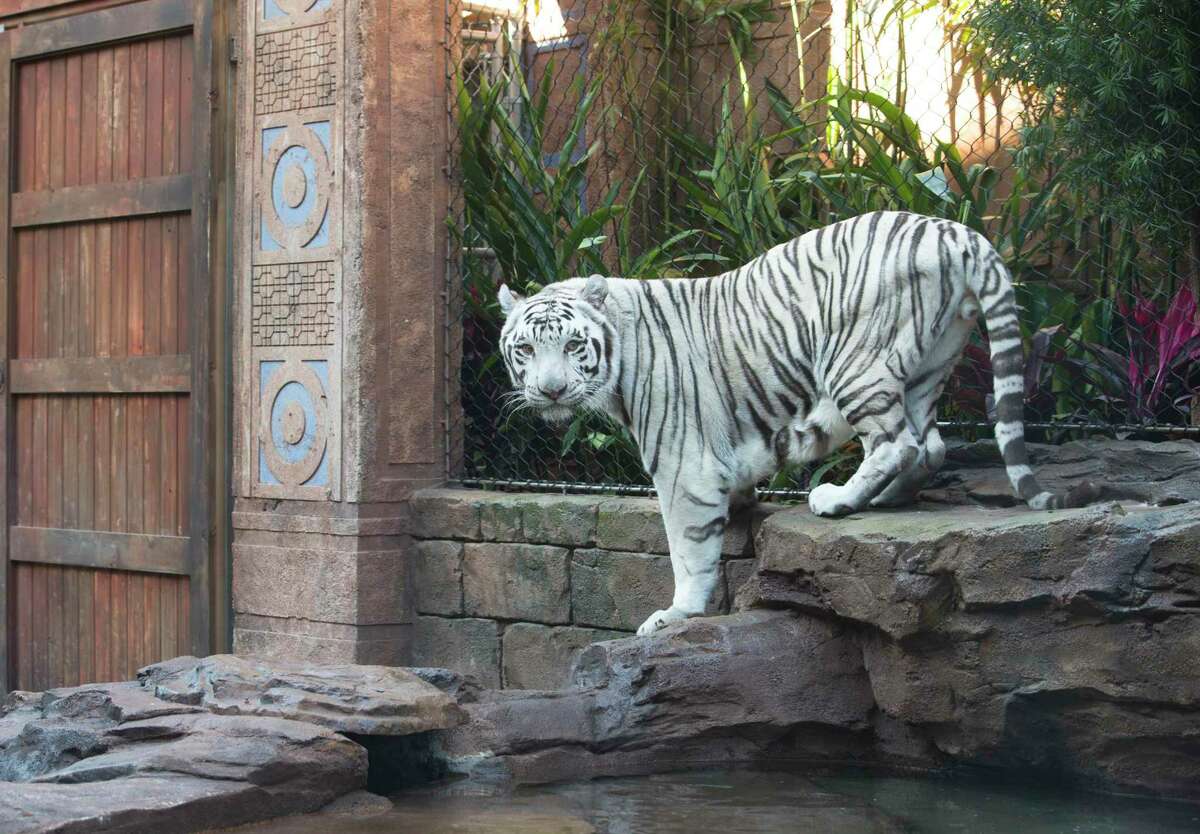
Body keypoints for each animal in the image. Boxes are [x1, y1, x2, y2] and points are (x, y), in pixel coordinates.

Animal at [497, 211, 1099, 636]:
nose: (550, 390)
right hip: (933, 360)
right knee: (929, 446)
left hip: (854, 362)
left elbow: (686, 548)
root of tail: (954, 230)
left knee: (898, 442)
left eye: (573, 346)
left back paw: (836, 499)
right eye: (525, 349)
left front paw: (676, 614)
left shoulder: (681, 466)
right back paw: (878, 499)